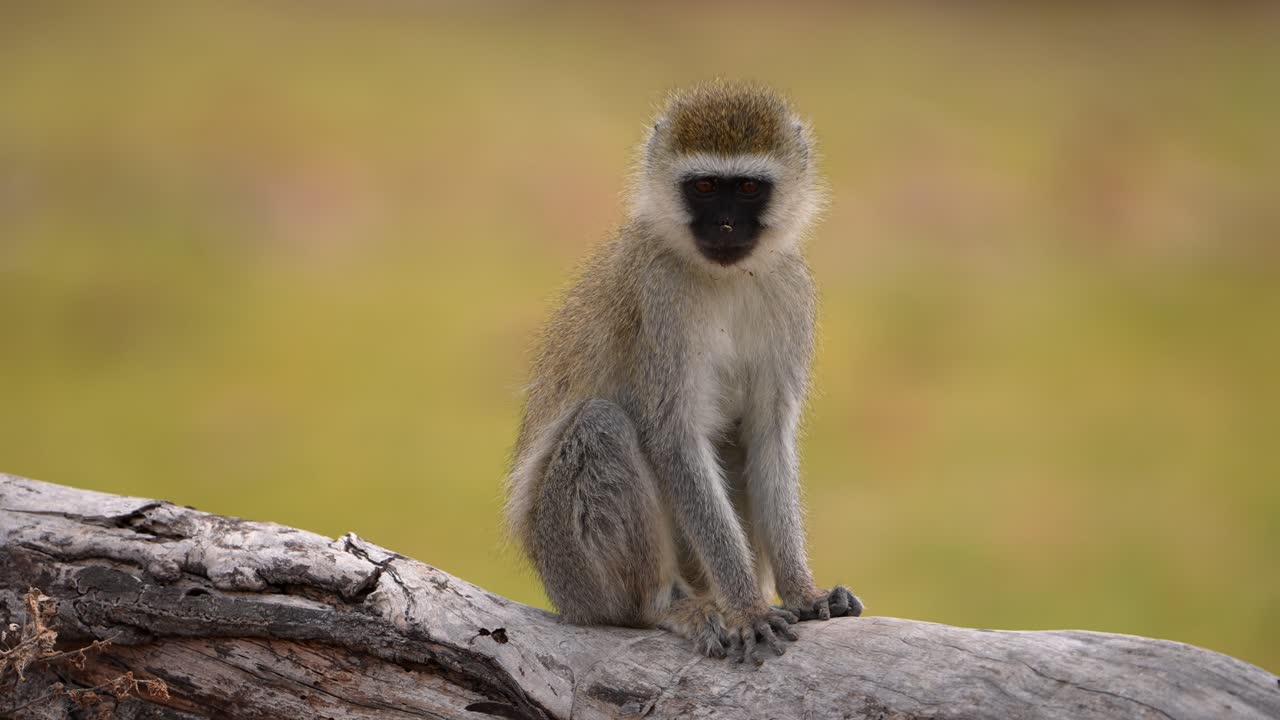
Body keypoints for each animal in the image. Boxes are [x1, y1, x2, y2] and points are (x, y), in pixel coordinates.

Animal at [505, 80, 861, 664]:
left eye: (746, 188)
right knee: (601, 426)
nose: (725, 225)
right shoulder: (660, 297)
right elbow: (674, 437)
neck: (728, 276)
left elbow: (768, 433)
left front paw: (803, 592)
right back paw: (667, 606)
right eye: (704, 187)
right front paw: (748, 608)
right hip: (572, 572)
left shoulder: (791, 290)